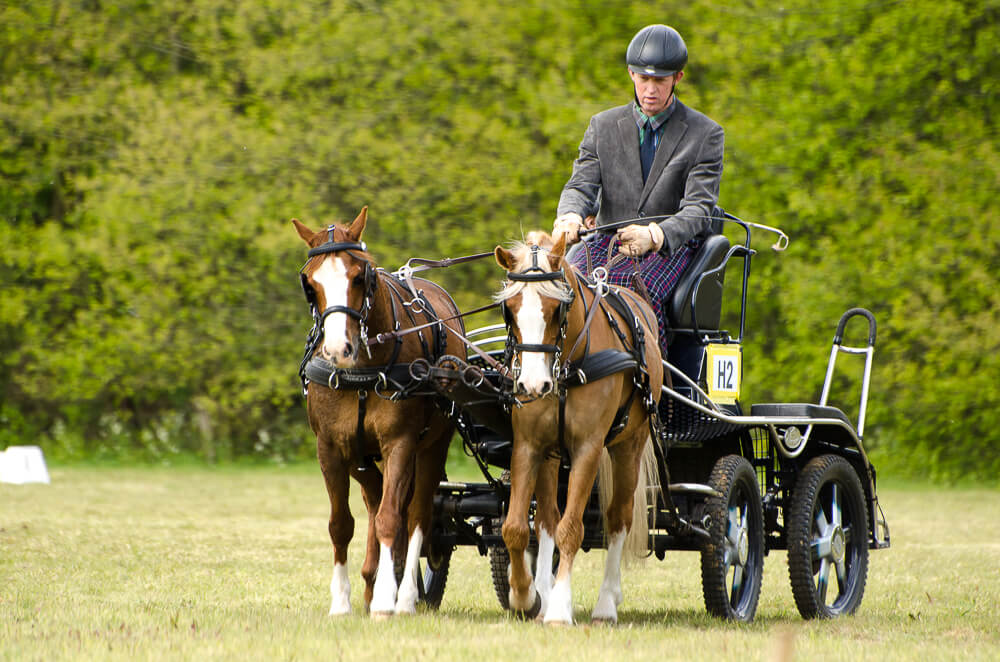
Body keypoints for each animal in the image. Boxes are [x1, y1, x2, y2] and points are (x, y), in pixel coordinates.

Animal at [292, 210, 464, 620]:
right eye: (310, 283)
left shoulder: (400, 443)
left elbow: (392, 518)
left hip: (432, 447)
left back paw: (404, 596)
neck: (363, 373)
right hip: (361, 457)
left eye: (360, 276)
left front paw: (388, 598)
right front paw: (342, 601)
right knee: (374, 499)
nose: (338, 349)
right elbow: (341, 524)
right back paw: (371, 582)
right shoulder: (330, 448)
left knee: (415, 514)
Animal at [494, 233, 664, 628]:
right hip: (552, 456)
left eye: (557, 308)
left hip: (629, 446)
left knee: (618, 519)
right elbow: (517, 528)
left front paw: (559, 608)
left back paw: (605, 604)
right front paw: (526, 596)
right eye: (510, 308)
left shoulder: (589, 448)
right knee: (546, 520)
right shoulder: (528, 446)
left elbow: (572, 529)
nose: (533, 385)